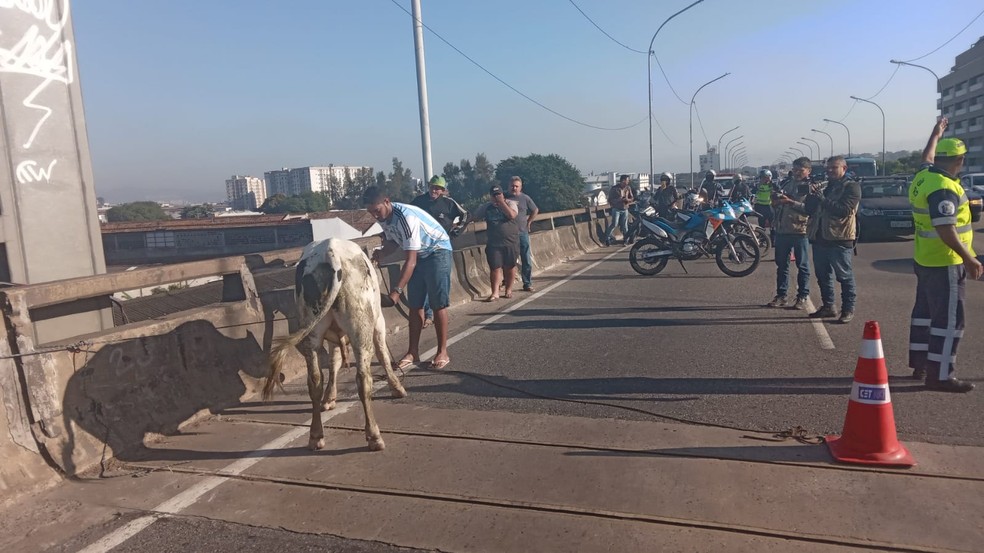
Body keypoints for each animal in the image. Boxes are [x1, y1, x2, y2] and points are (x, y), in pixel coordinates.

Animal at [264, 237, 406, 448]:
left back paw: (316, 436)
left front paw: (329, 398)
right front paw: (397, 387)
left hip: (313, 333)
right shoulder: (379, 322)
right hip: (360, 327)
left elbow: (334, 363)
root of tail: (330, 253)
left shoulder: (332, 337)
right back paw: (374, 435)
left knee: (315, 380)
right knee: (363, 378)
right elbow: (383, 354)